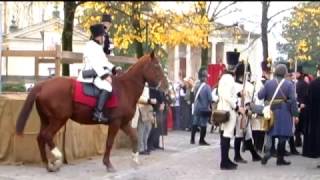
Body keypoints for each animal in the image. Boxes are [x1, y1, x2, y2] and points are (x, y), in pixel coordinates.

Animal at [15, 51, 169, 172]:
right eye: (156, 66)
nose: (167, 88)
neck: (125, 88)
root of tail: (43, 85)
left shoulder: (124, 123)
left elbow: (135, 137)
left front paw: (135, 160)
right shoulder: (115, 123)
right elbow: (109, 142)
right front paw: (108, 164)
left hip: (46, 119)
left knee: (40, 137)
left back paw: (47, 164)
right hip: (58, 119)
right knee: (46, 135)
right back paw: (57, 159)